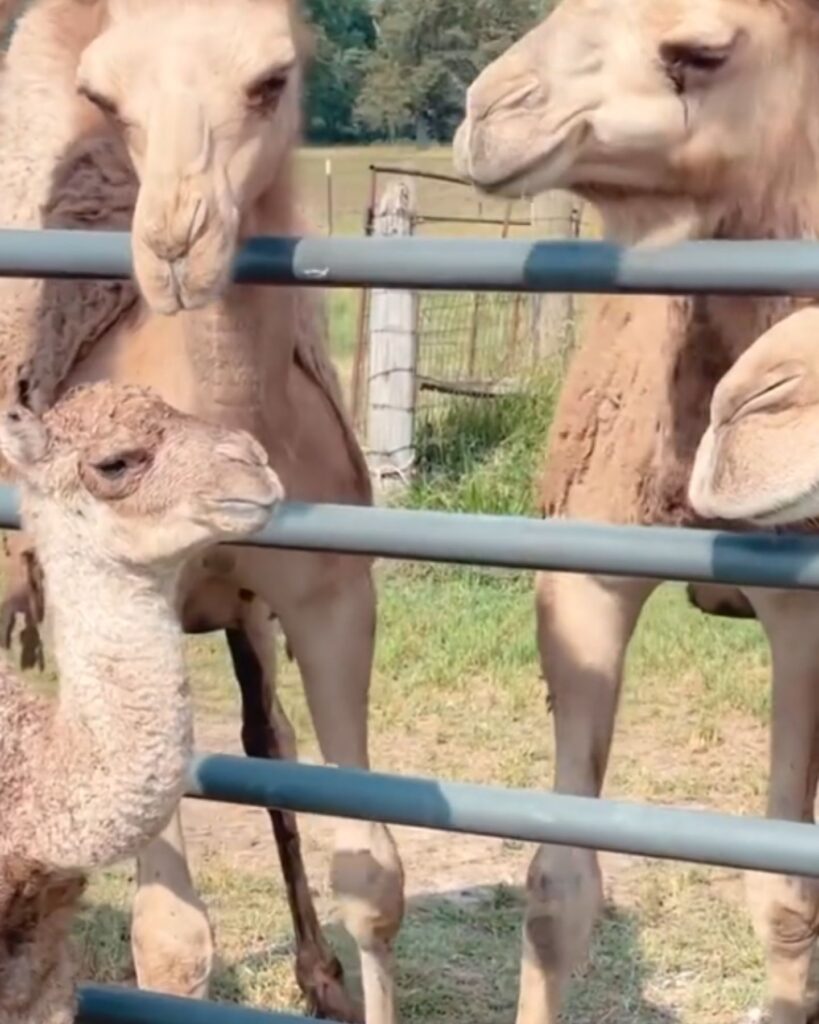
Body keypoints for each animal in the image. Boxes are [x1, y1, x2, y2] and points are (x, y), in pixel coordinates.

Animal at [454, 1, 819, 1022]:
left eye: (702, 50)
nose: (490, 110)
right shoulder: (585, 573)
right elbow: (556, 886)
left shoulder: (803, 609)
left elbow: (784, 897)